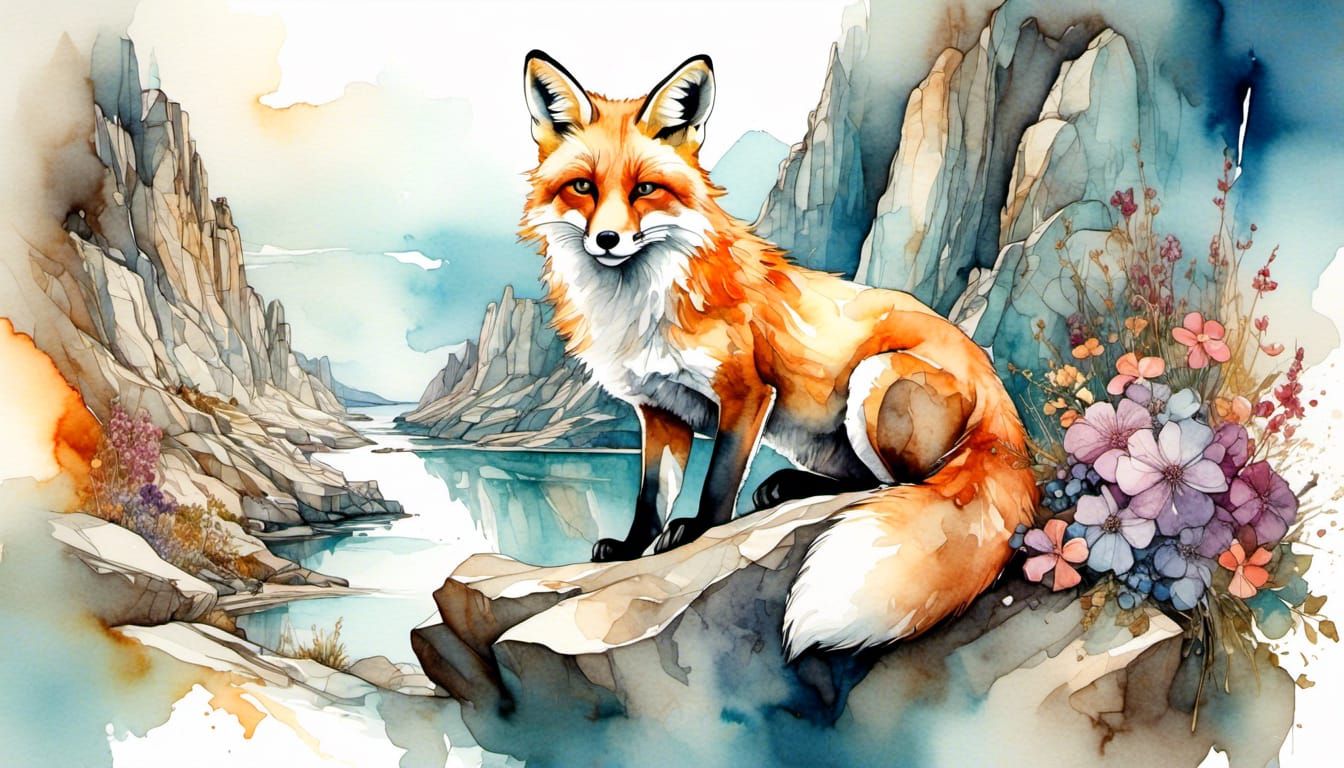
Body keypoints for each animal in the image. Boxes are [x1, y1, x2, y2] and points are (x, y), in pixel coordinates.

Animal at [518, 50, 1039, 657]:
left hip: (872, 381)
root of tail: (996, 390)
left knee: (901, 486)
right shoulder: (660, 410)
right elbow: (651, 497)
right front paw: (630, 548)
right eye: (582, 186)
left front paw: (698, 530)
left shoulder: (746, 393)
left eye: (645, 189)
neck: (641, 305)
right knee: (865, 484)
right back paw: (788, 488)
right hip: (811, 435)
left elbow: (719, 480)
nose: (607, 240)